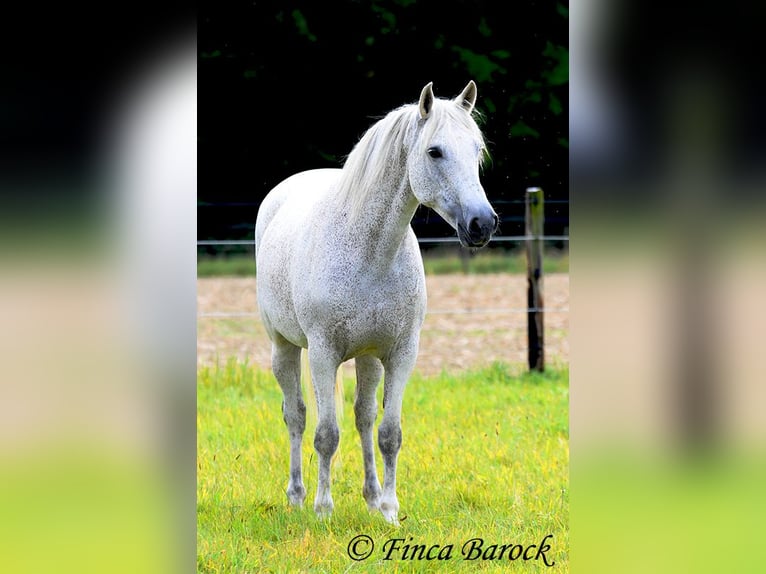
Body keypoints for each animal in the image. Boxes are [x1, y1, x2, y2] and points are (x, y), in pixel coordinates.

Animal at [255, 81, 500, 528]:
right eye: (434, 151)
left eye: (477, 150)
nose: (482, 224)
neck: (371, 252)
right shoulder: (323, 354)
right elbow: (326, 435)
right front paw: (324, 510)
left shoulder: (401, 353)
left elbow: (388, 433)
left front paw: (389, 509)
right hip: (284, 347)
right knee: (296, 416)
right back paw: (297, 496)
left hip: (367, 357)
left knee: (363, 416)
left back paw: (369, 497)